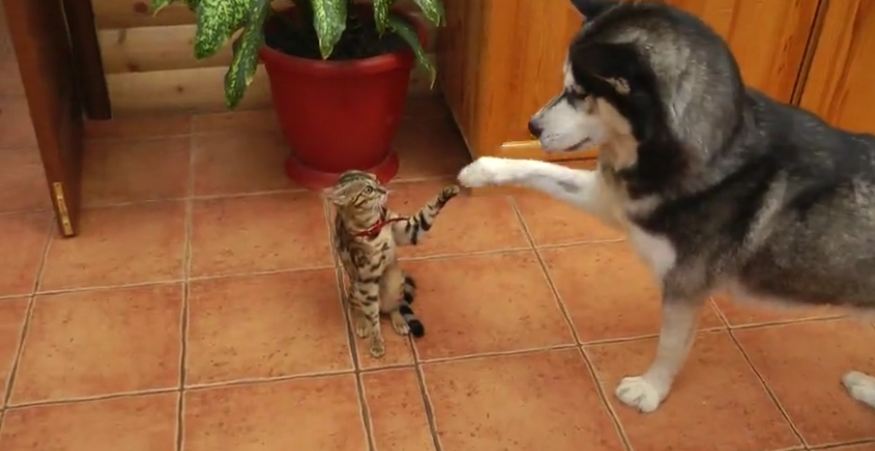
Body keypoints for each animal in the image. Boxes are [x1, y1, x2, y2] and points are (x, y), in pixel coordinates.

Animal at [328, 171, 462, 358]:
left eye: (377, 180)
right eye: (368, 189)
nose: (384, 190)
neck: (374, 225)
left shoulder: (408, 230)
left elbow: (426, 213)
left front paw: (448, 191)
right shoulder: (366, 278)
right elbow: (372, 317)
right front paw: (377, 341)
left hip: (396, 281)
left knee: (395, 307)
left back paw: (399, 321)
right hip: (356, 288)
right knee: (357, 308)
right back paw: (362, 323)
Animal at [458, 0, 875, 414]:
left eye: (579, 92)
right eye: (568, 88)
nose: (532, 126)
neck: (713, 148)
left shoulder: (684, 287)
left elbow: (671, 346)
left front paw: (651, 389)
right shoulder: (613, 202)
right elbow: (538, 169)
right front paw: (482, 170)